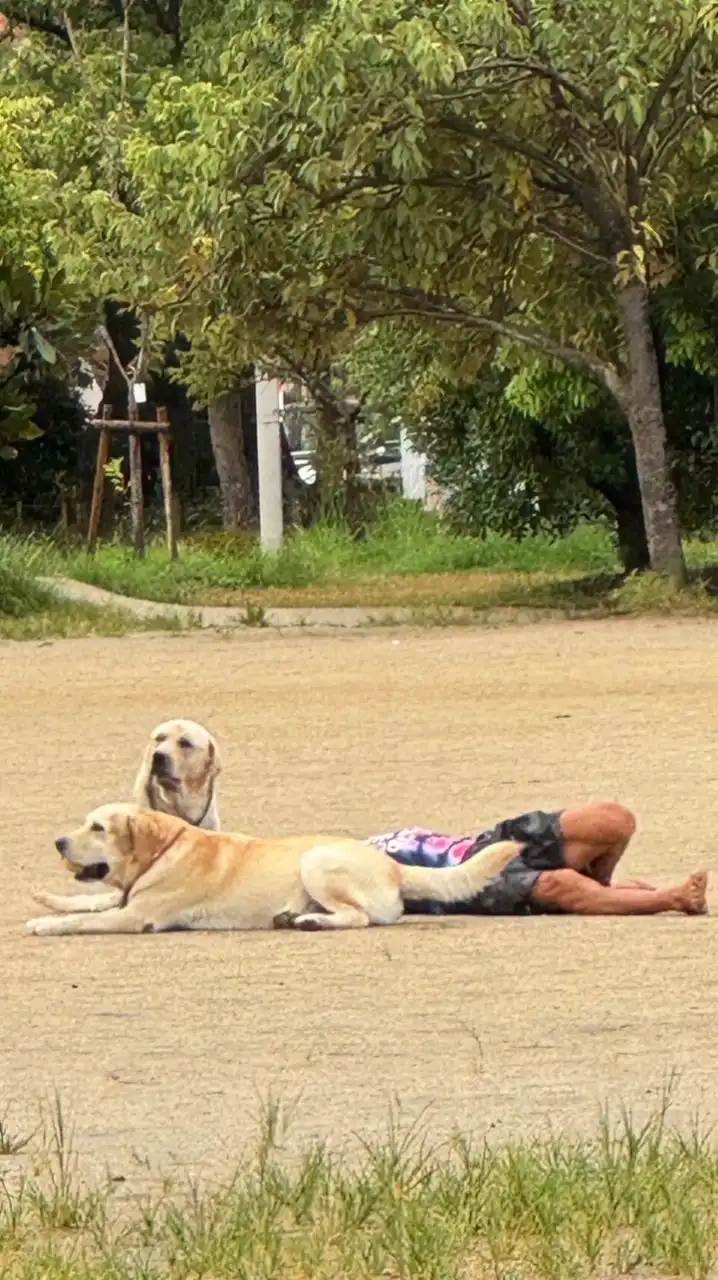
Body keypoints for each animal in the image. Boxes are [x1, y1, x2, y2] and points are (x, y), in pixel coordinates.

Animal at [25, 808, 517, 942]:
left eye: (97, 828)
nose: (58, 842)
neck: (164, 850)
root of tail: (394, 864)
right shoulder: (126, 898)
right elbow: (90, 901)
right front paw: (47, 901)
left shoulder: (135, 916)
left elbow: (83, 919)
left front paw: (46, 923)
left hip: (315, 862)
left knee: (356, 917)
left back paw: (308, 920)